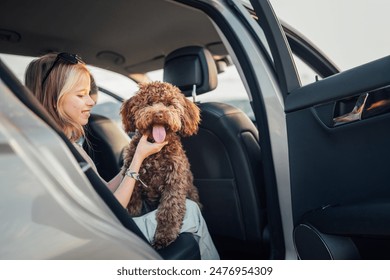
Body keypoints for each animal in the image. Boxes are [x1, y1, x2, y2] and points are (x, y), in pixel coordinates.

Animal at [120, 81, 201, 249]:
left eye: (169, 104)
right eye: (149, 103)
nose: (158, 114)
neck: (155, 154)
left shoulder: (174, 183)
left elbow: (169, 211)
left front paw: (164, 236)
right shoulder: (132, 183)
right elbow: (131, 205)